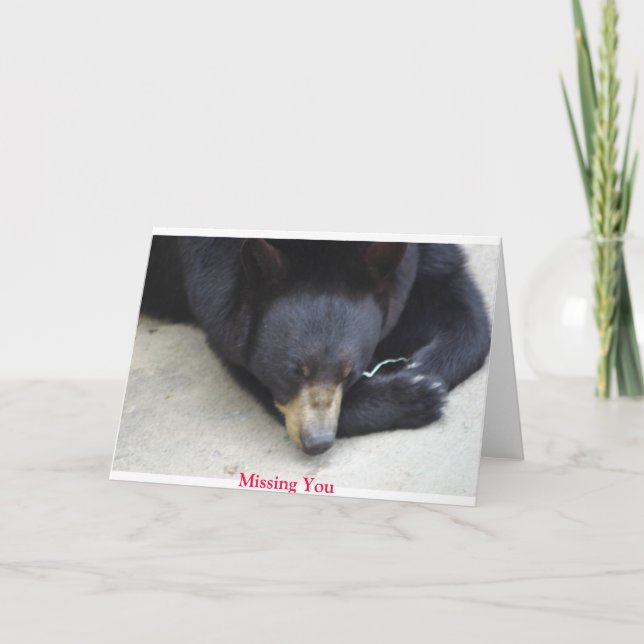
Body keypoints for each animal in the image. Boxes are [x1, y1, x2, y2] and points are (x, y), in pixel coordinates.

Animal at [140, 235, 491, 455]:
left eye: (350, 373)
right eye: (294, 372)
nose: (317, 441)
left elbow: (454, 294)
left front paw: (423, 370)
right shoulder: (212, 280)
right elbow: (247, 370)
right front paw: (415, 394)